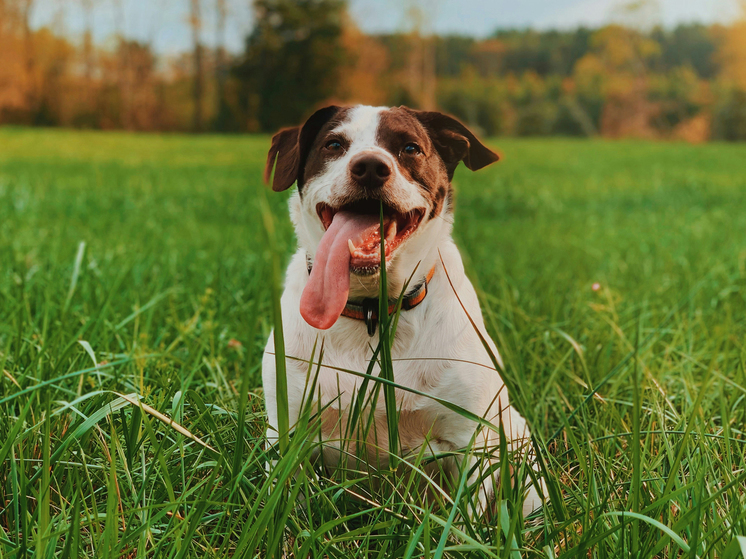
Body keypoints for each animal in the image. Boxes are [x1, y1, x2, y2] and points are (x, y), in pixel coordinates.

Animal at [260, 104, 540, 516]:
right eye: (333, 144)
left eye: (410, 148)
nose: (370, 167)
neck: (372, 312)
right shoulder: (287, 433)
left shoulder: (470, 443)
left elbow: (467, 519)